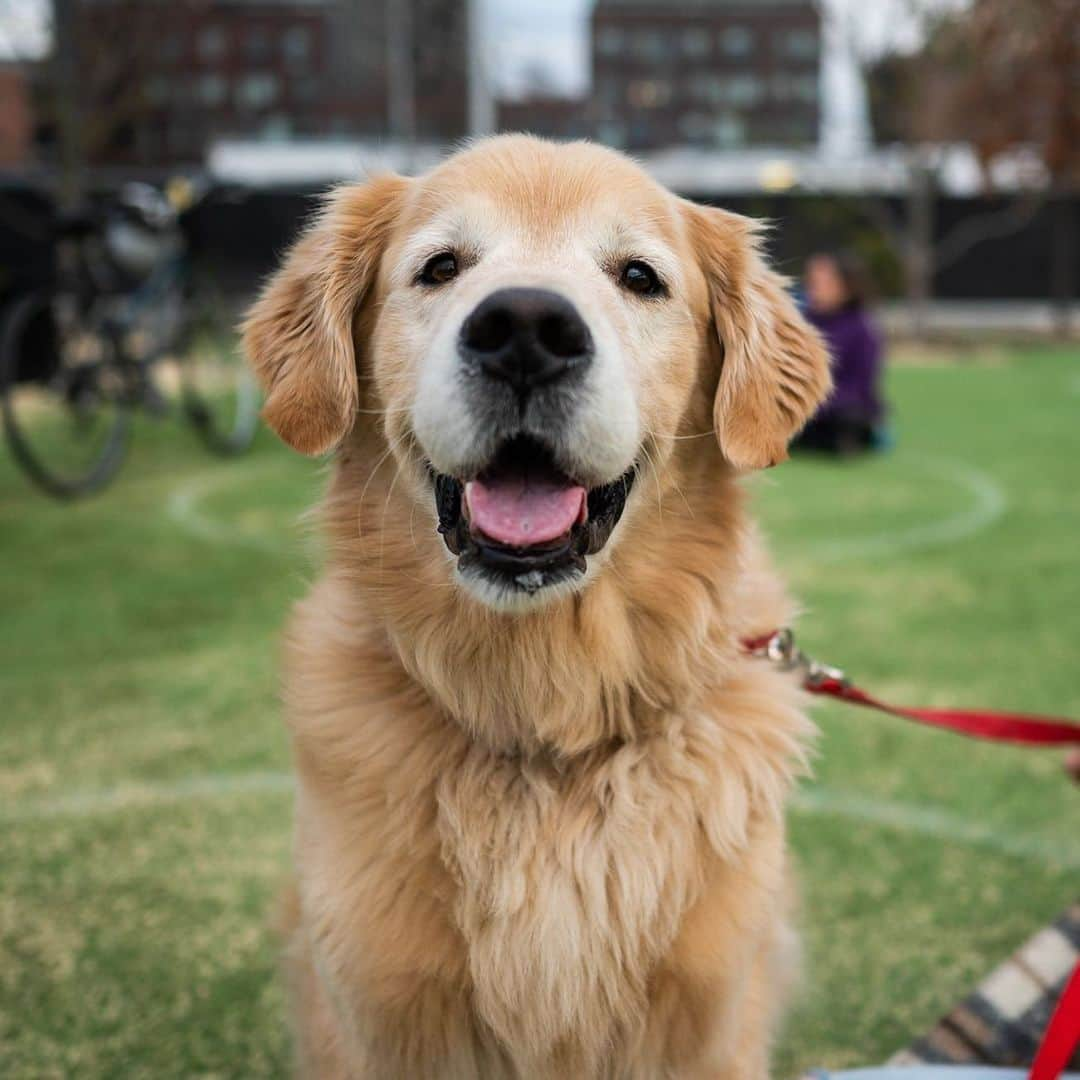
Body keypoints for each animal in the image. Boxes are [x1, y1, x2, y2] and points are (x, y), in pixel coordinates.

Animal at [245, 137, 829, 1080]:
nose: (525, 329)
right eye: (441, 267)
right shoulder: (384, 1012)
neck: (547, 727)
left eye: (639, 276)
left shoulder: (705, 1017)